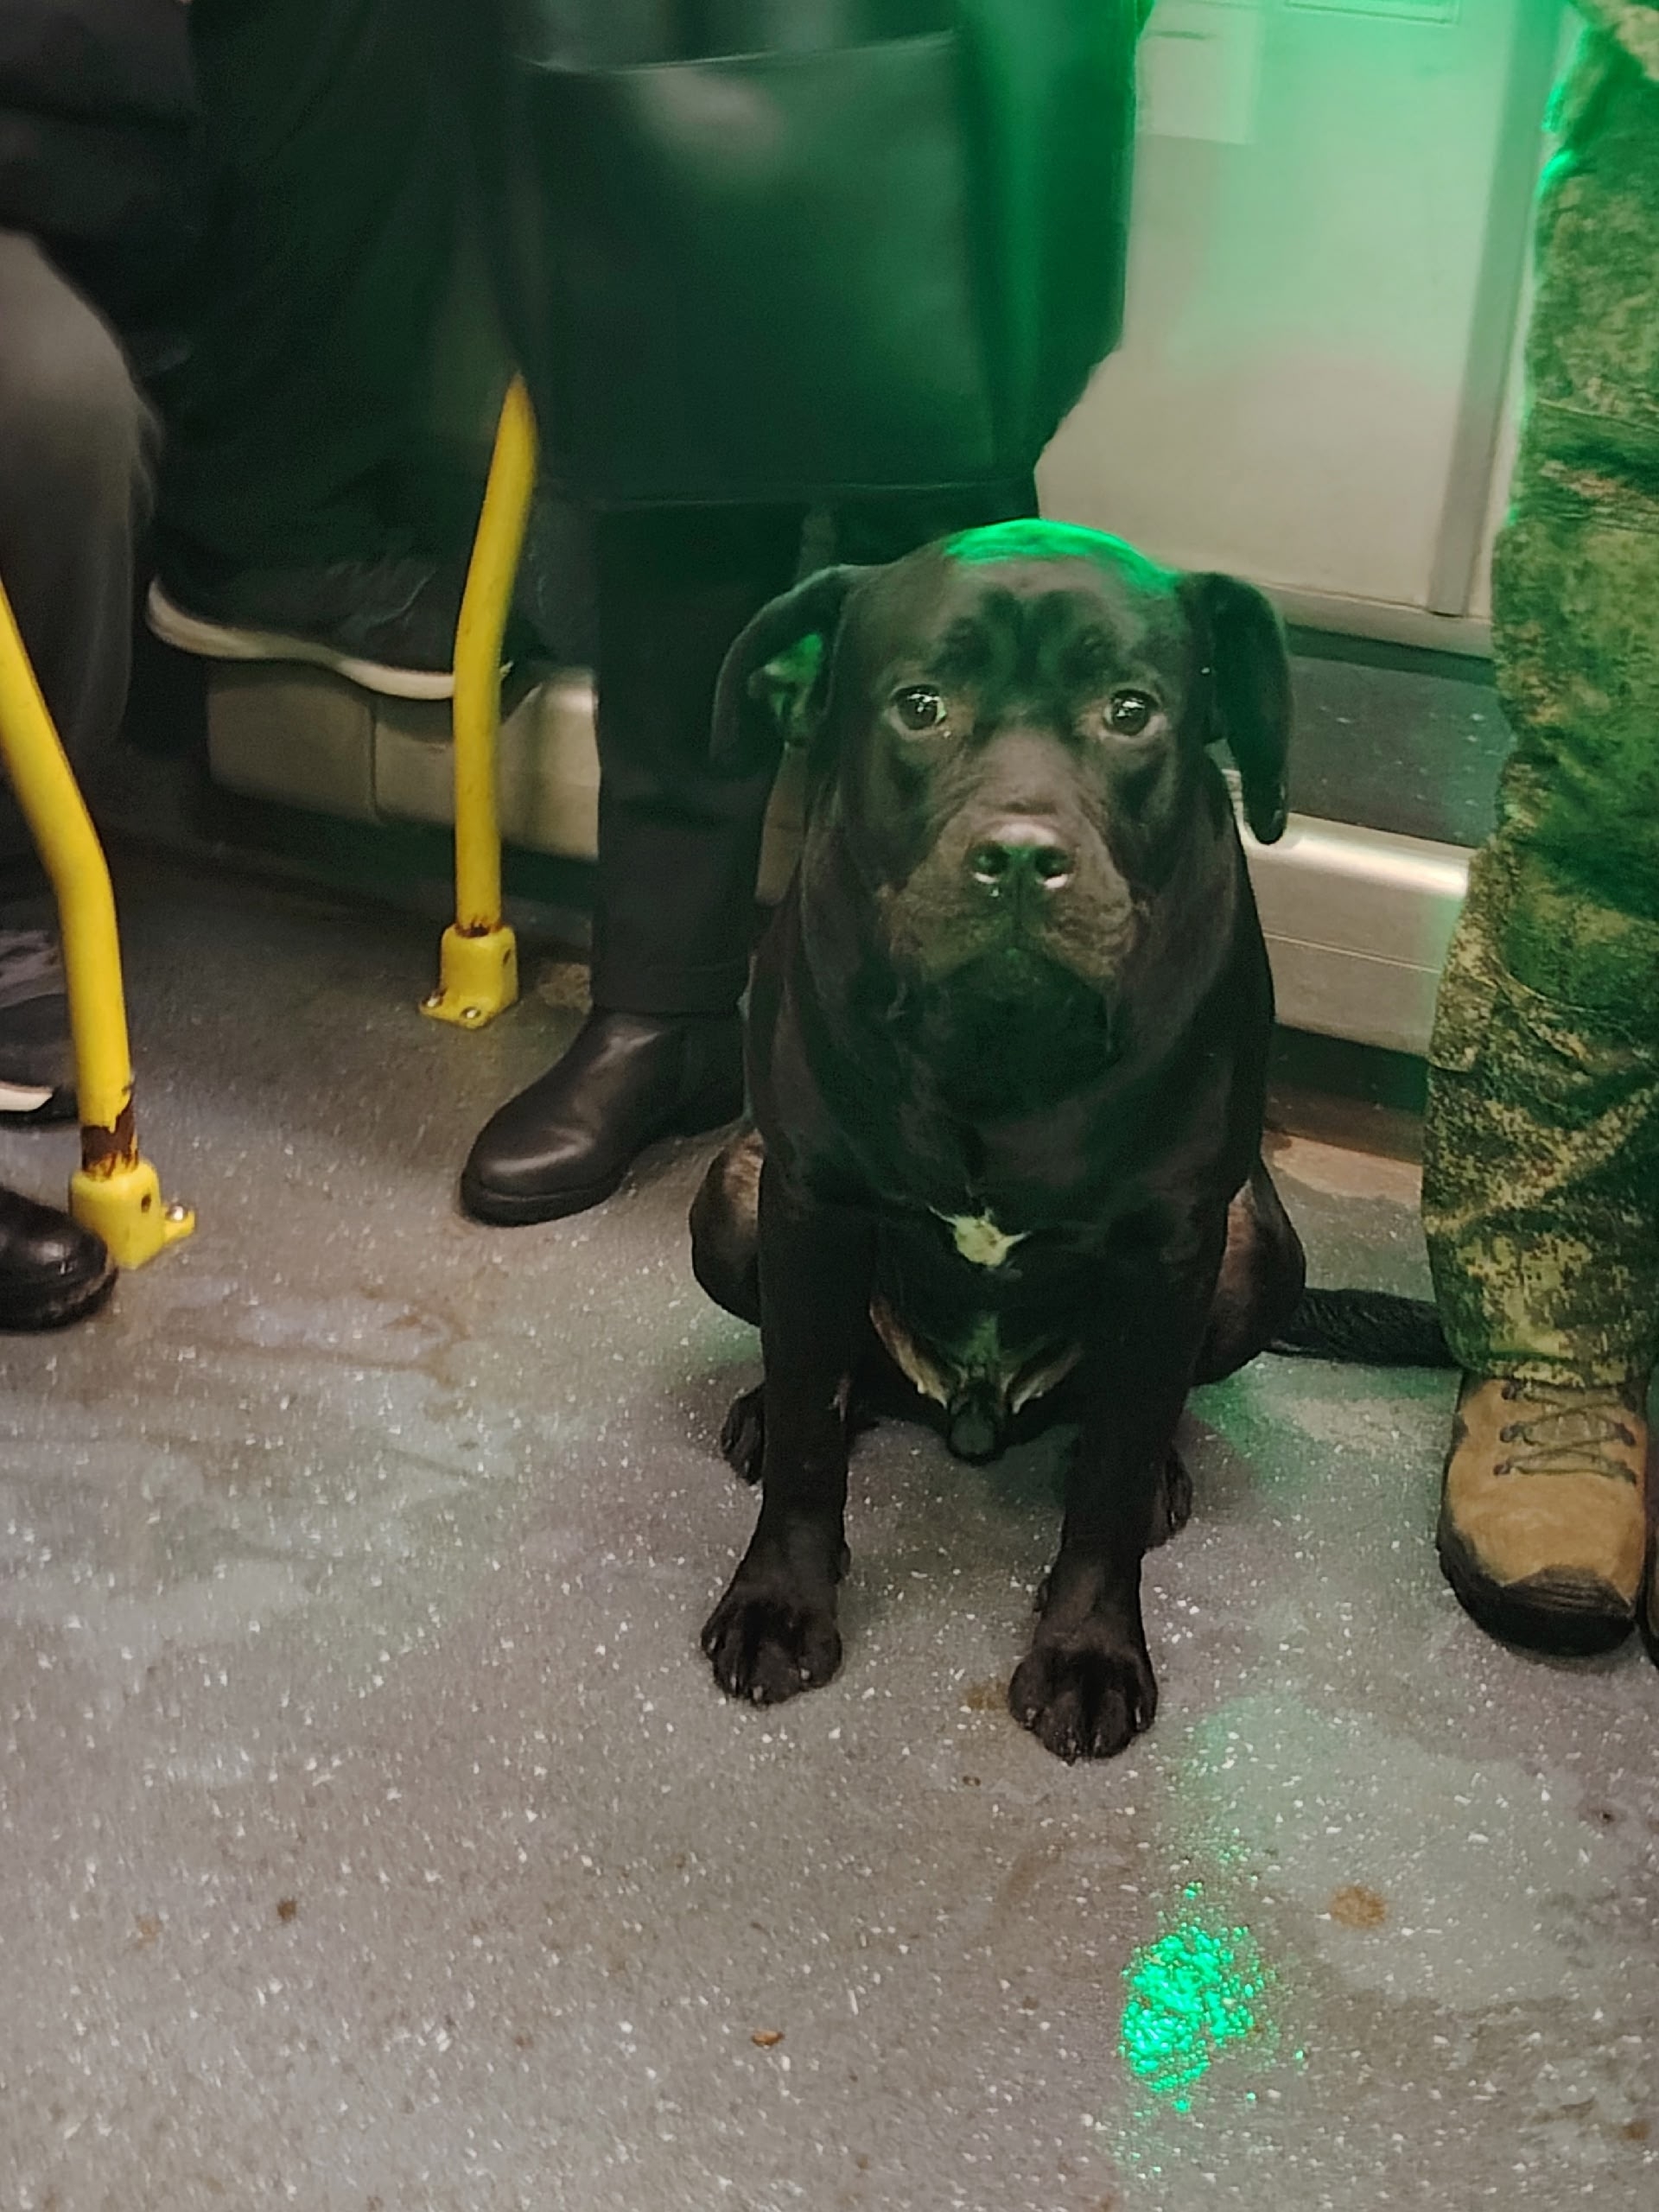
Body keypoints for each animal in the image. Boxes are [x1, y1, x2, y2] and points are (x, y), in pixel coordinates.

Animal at [688, 519, 1435, 1762]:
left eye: (1131, 710)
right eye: (921, 705)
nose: (1021, 855)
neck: (1003, 1034)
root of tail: (974, 1411)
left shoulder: (1173, 1245)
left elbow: (1113, 1478)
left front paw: (1089, 1649)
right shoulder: (810, 1198)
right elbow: (804, 1432)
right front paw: (780, 1599)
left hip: (1257, 1250)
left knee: (1136, 1409)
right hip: (733, 1199)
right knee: (828, 1375)